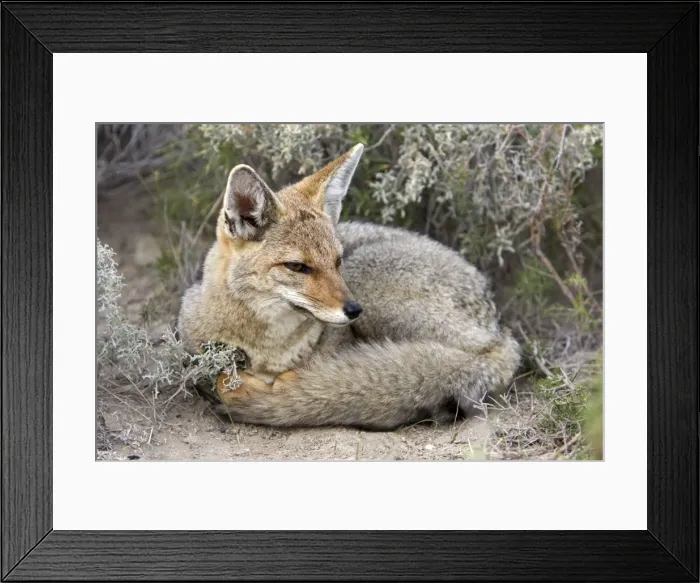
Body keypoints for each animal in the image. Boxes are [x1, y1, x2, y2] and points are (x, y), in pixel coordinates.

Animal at [177, 143, 521, 430]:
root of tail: (502, 329)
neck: (270, 349)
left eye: (336, 261)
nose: (354, 310)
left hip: (372, 287)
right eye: (297, 267)